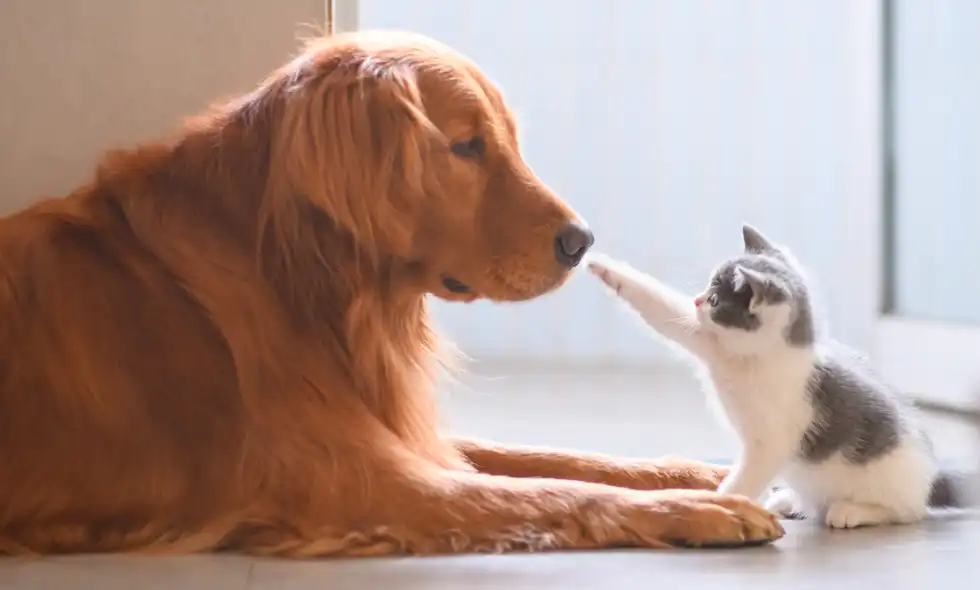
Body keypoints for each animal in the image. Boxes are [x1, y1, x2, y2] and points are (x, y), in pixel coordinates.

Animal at [0, 31, 780, 560]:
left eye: (507, 139)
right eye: (466, 147)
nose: (581, 241)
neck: (298, 276)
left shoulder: (403, 433)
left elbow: (570, 460)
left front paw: (711, 476)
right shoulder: (362, 480)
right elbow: (563, 490)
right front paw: (699, 510)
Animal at [584, 224, 968, 528]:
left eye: (714, 299)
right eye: (707, 290)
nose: (696, 301)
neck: (753, 359)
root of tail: (932, 477)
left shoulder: (771, 443)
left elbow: (749, 475)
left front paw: (721, 503)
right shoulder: (710, 342)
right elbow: (662, 310)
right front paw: (603, 266)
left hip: (894, 479)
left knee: (906, 512)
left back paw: (853, 511)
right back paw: (789, 501)